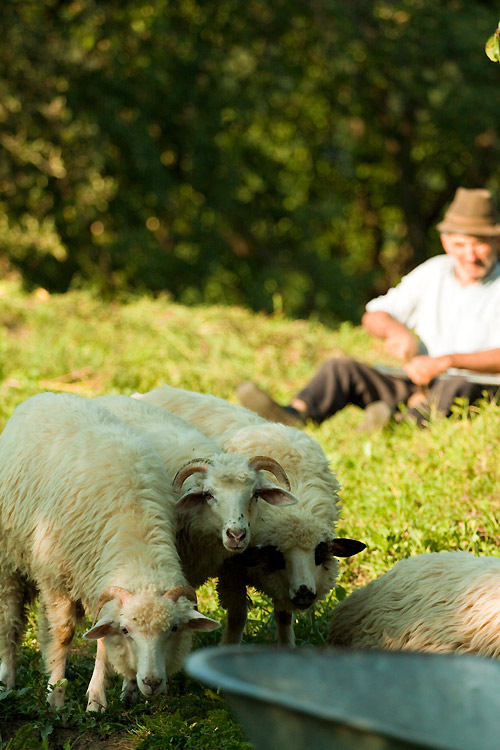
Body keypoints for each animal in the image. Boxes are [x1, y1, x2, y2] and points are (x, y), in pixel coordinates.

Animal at [0, 390, 220, 712]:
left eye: (173, 629)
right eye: (128, 631)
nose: (152, 683)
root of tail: (48, 394)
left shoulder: (97, 584)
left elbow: (103, 641)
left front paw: (98, 698)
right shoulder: (57, 579)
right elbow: (64, 634)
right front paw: (57, 695)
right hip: (9, 559)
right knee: (10, 620)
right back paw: (7, 680)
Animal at [135, 384, 366, 648]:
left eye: (319, 553)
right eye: (278, 556)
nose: (304, 593)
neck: (295, 508)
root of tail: (152, 391)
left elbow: (283, 616)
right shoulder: (232, 571)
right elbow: (238, 617)